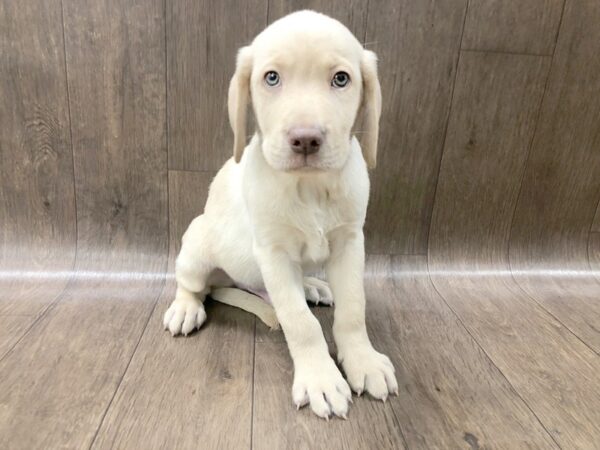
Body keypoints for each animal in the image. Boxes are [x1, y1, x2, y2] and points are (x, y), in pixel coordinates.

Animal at [164, 9, 398, 418]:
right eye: (271, 77)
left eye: (341, 79)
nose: (305, 139)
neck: (311, 187)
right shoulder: (273, 253)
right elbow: (300, 323)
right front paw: (321, 379)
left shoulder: (350, 242)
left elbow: (354, 309)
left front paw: (363, 360)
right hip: (197, 243)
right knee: (193, 284)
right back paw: (185, 307)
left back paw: (312, 285)